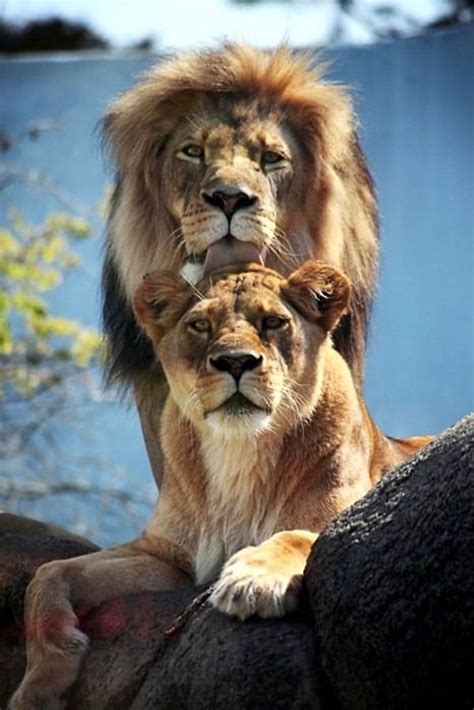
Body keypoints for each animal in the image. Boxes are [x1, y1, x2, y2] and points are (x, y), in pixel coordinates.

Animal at [12, 262, 432, 710]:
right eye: (200, 325)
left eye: (273, 322)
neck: (239, 448)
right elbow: (50, 574)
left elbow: (293, 536)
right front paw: (39, 685)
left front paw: (253, 582)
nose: (235, 361)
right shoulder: (167, 558)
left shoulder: (338, 515)